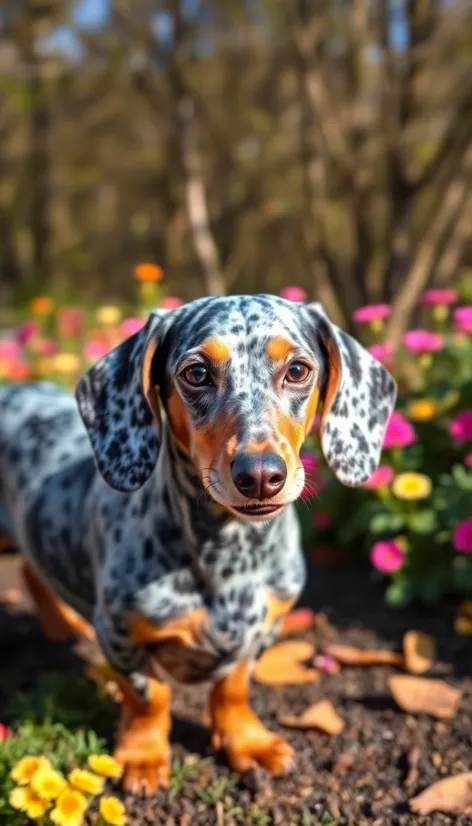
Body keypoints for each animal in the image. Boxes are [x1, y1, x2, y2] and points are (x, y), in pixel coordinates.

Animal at [0, 294, 398, 792]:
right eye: (196, 373)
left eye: (298, 370)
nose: (260, 476)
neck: (231, 558)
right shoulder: (118, 633)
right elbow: (149, 696)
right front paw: (142, 757)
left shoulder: (264, 628)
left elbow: (233, 688)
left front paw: (247, 743)